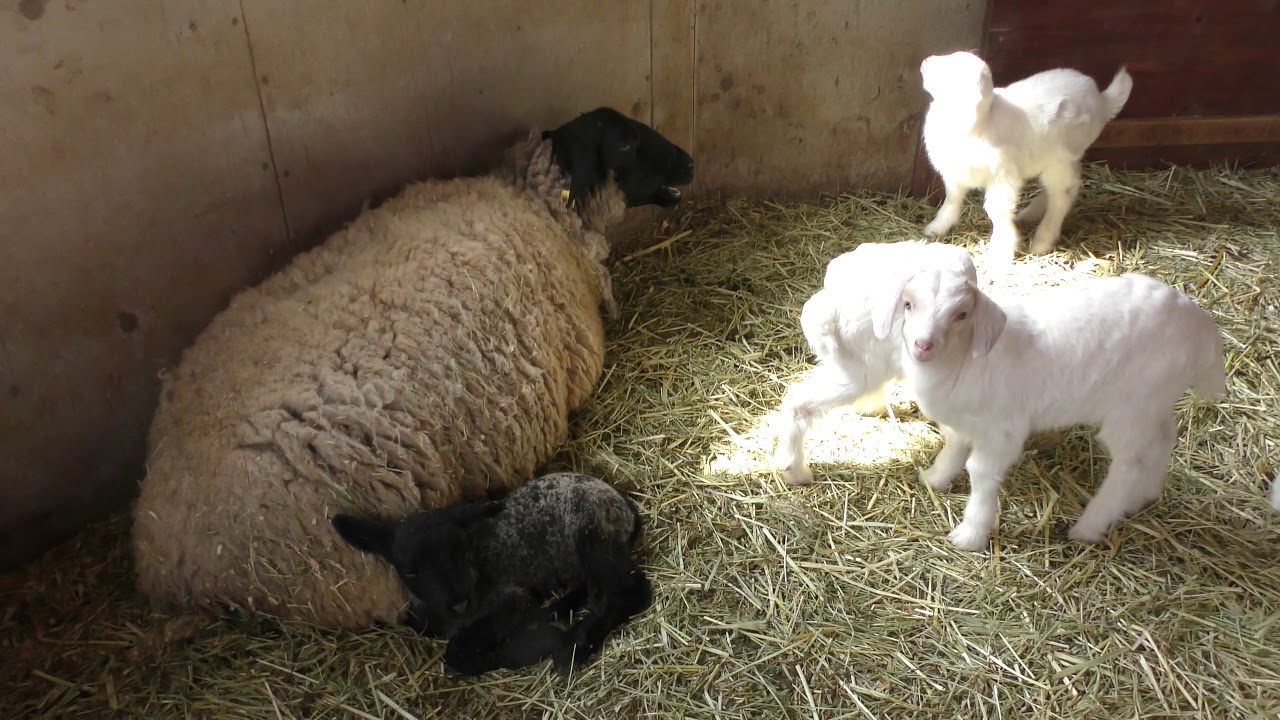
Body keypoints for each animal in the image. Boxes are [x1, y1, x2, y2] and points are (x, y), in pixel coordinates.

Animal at [331, 472, 650, 675]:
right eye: (411, 572)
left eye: (459, 552)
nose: (460, 602)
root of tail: (625, 506)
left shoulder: (510, 599)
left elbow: (457, 650)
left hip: (591, 530)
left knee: (630, 590)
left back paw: (573, 646)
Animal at [874, 262, 1226, 550]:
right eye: (908, 304)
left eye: (961, 315)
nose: (923, 345)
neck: (962, 360)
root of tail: (1203, 328)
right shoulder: (963, 421)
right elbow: (953, 446)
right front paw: (934, 478)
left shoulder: (1003, 429)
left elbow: (982, 472)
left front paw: (970, 535)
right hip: (1156, 400)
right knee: (1164, 437)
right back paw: (1146, 494)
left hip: (1131, 407)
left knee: (1129, 463)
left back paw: (1090, 525)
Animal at [919, 51, 1132, 262]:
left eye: (952, 71)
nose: (925, 61)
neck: (979, 123)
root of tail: (1102, 101)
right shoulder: (956, 174)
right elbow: (952, 198)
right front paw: (936, 228)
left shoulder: (1003, 176)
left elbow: (998, 210)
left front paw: (1001, 252)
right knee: (1069, 186)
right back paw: (1031, 213)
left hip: (1059, 159)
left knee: (1063, 195)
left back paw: (1042, 240)